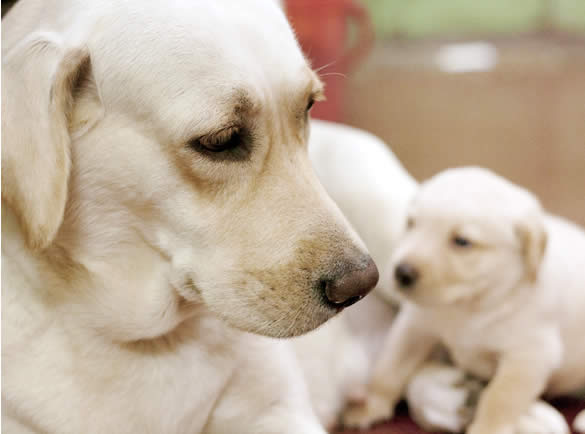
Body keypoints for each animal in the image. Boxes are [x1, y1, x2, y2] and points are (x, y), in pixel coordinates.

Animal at [342, 167, 584, 434]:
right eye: (411, 223)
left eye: (461, 241)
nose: (401, 272)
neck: (470, 304)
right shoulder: (414, 326)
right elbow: (389, 368)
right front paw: (370, 405)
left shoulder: (529, 355)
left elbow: (499, 398)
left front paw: (486, 429)